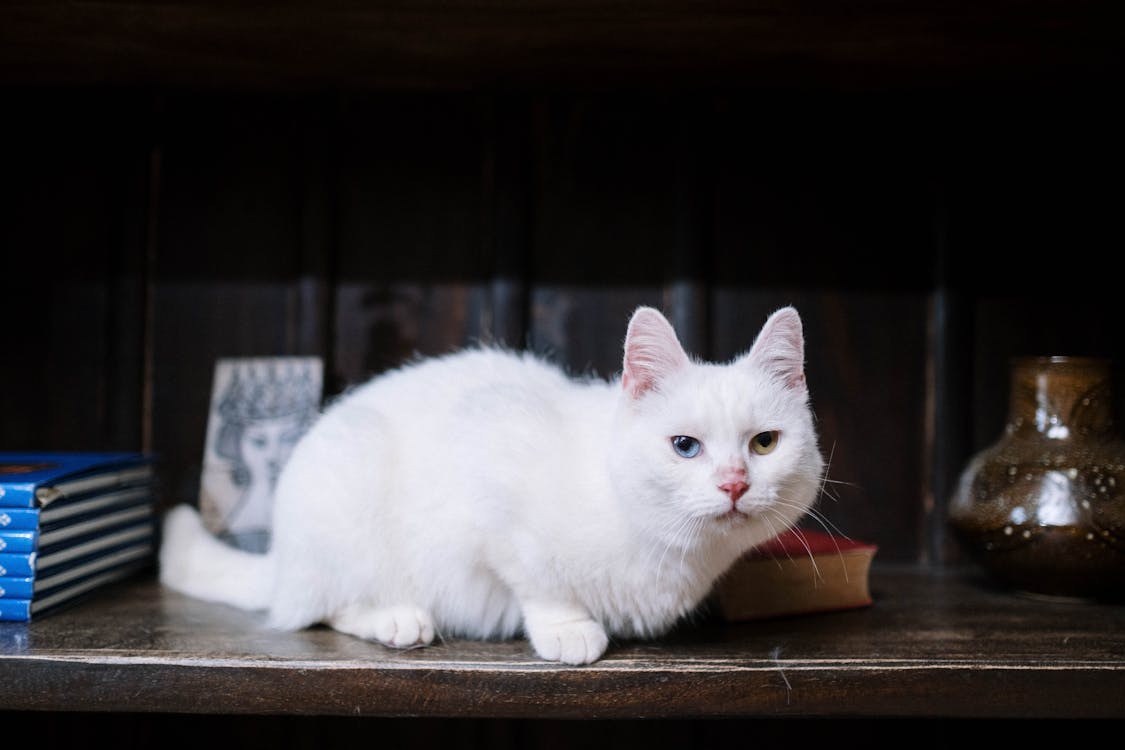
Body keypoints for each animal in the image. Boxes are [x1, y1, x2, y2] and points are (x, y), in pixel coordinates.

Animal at [158, 305, 828, 661]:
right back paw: (396, 618)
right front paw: (567, 629)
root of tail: (280, 556)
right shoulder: (488, 465)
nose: (734, 483)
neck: (672, 553)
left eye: (763, 444)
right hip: (349, 496)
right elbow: (534, 576)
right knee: (318, 607)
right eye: (685, 446)